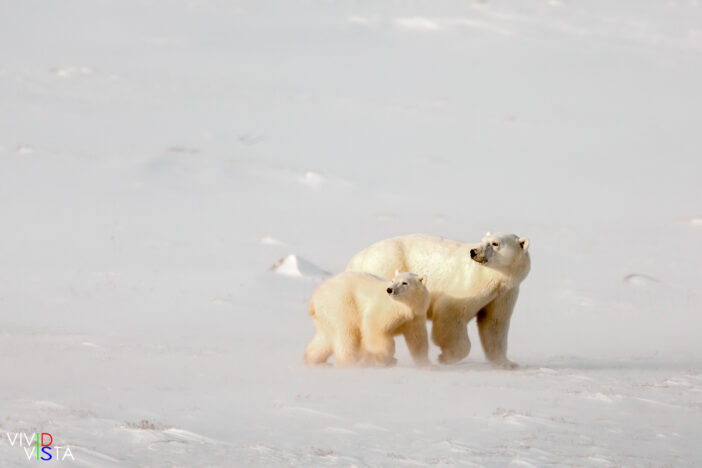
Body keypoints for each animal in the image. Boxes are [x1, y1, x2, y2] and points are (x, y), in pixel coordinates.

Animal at [346, 232, 530, 368]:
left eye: (495, 243)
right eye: (483, 240)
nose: (474, 252)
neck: (495, 277)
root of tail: (354, 260)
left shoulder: (505, 292)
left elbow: (494, 323)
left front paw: (507, 363)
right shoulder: (470, 283)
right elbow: (451, 312)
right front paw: (446, 356)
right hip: (384, 269)